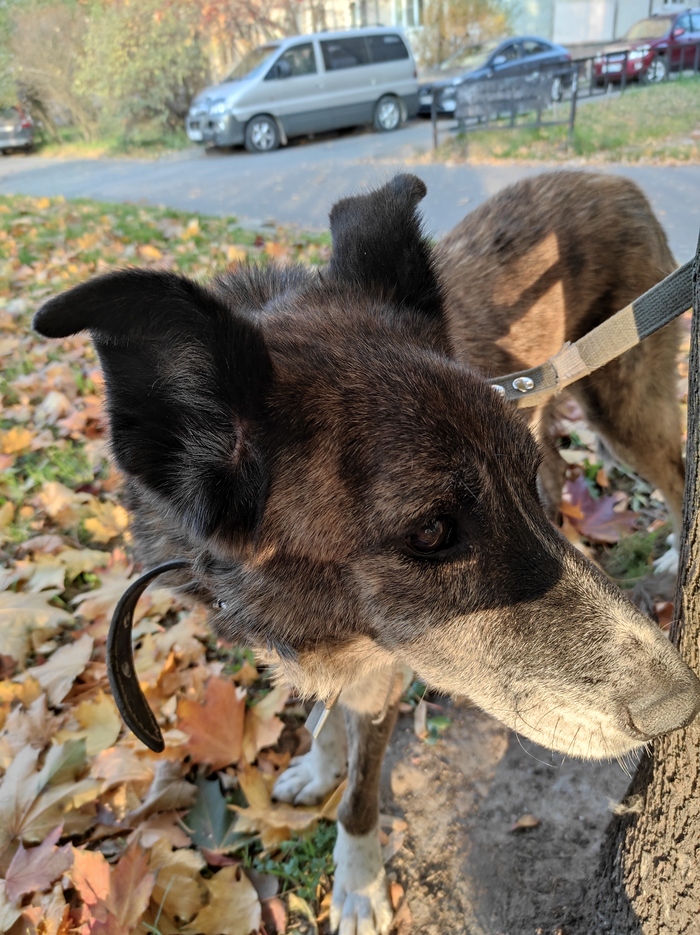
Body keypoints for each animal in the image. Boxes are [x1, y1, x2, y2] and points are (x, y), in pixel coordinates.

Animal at [34, 172, 700, 932]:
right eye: (431, 532)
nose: (682, 706)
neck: (318, 620)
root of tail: (613, 177)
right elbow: (323, 717)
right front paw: (320, 765)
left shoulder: (384, 675)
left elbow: (359, 796)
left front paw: (358, 885)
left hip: (624, 409)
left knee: (673, 467)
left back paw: (674, 550)